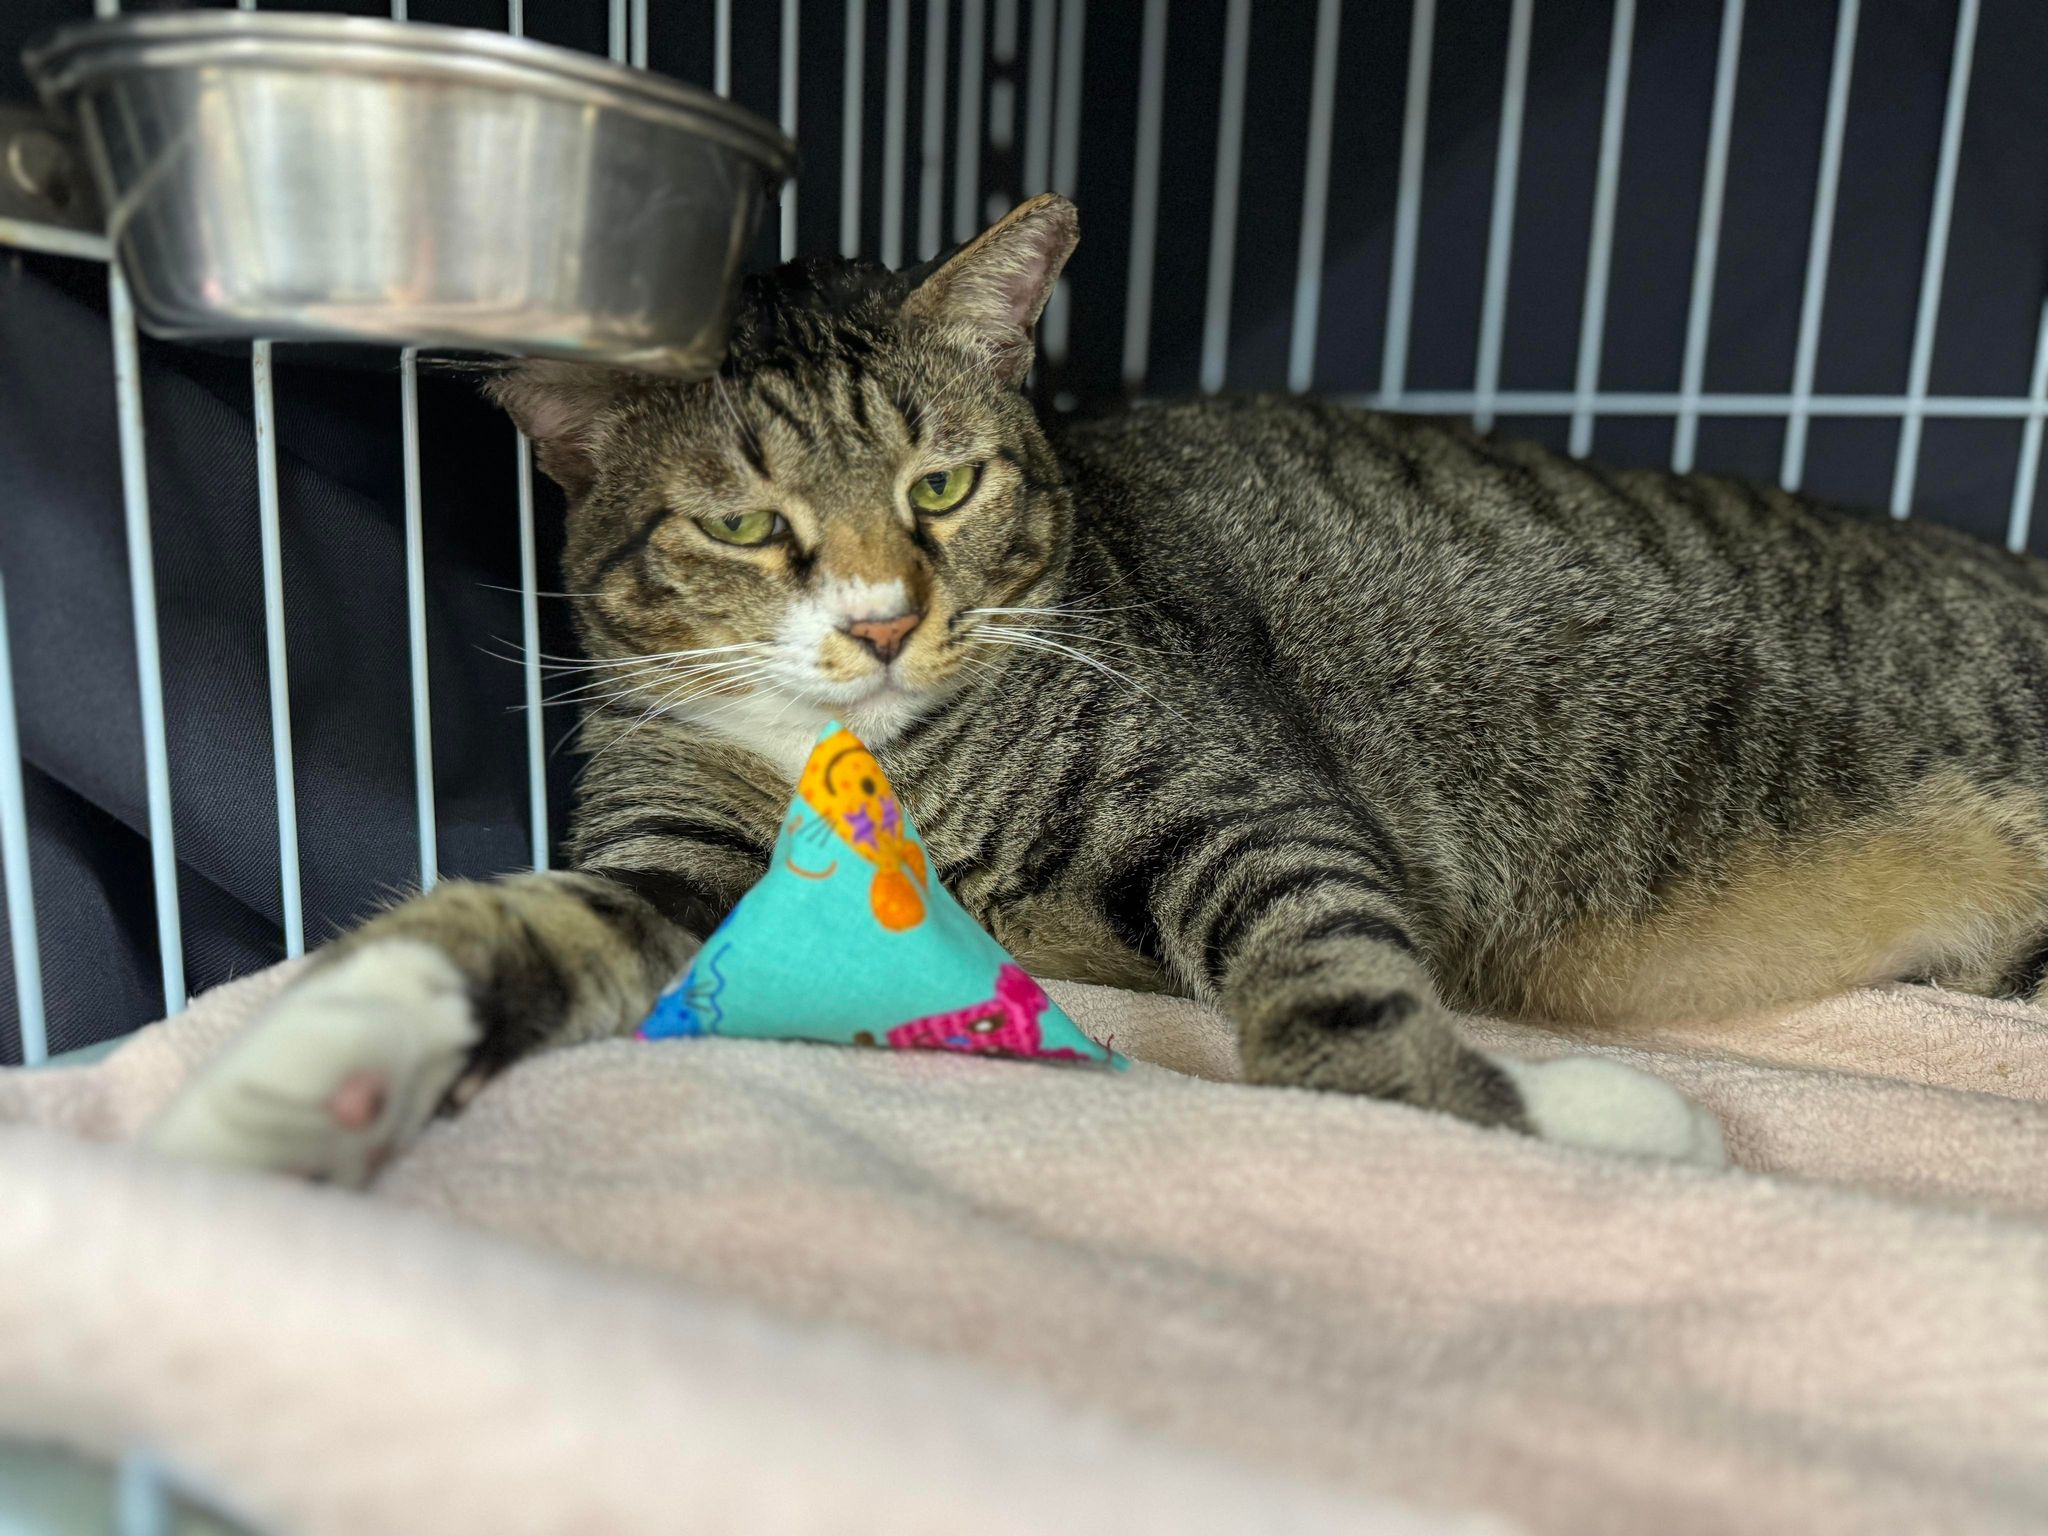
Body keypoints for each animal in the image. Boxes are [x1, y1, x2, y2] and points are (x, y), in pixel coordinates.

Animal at [149, 192, 2048, 1184]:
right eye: (748, 527)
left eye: (940, 486)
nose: (880, 624)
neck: (870, 756)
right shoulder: (669, 860)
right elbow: (499, 927)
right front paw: (289, 1090)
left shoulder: (1229, 789)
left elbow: (1328, 1003)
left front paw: (1567, 1119)